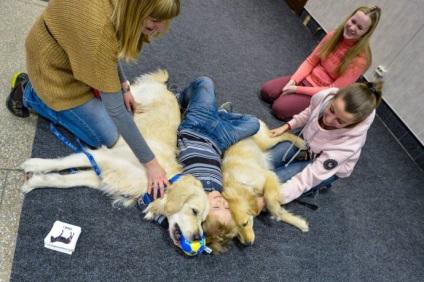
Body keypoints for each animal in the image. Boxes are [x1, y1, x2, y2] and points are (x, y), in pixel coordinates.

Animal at [19, 70, 209, 245]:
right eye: (194, 211)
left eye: (203, 221)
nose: (197, 237)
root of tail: (164, 87)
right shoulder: (103, 156)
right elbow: (63, 163)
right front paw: (35, 165)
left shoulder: (103, 176)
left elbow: (64, 181)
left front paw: (34, 182)